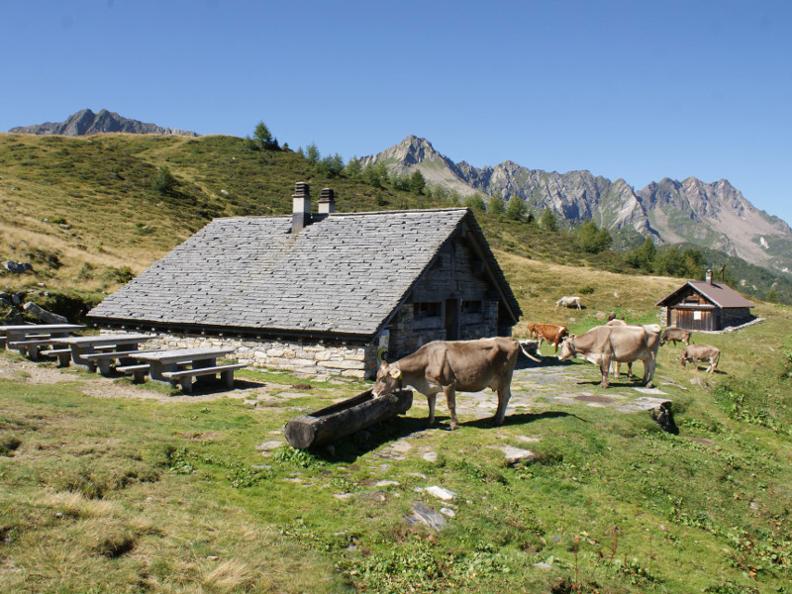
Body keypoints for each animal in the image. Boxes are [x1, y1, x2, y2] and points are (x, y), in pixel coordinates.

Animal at [372, 336, 540, 428]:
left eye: (382, 378)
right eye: (377, 377)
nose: (373, 394)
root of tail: (510, 339)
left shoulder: (449, 384)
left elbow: (451, 405)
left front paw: (453, 425)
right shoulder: (430, 388)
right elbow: (431, 405)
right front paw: (430, 421)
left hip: (505, 377)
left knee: (505, 396)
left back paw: (498, 420)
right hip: (499, 380)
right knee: (500, 397)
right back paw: (494, 417)